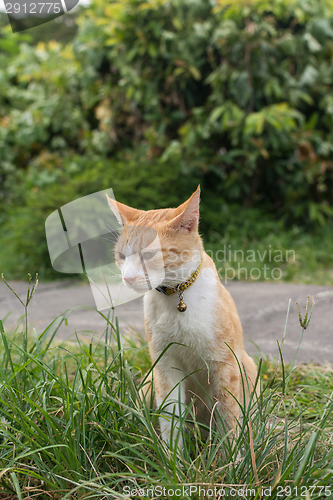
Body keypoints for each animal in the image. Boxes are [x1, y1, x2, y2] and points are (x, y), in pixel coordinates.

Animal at [106, 187, 260, 450]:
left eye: (149, 254)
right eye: (121, 256)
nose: (127, 277)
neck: (176, 295)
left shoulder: (226, 365)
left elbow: (229, 417)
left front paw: (231, 457)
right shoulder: (165, 365)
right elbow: (170, 417)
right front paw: (173, 458)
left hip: (247, 368)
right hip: (148, 383)